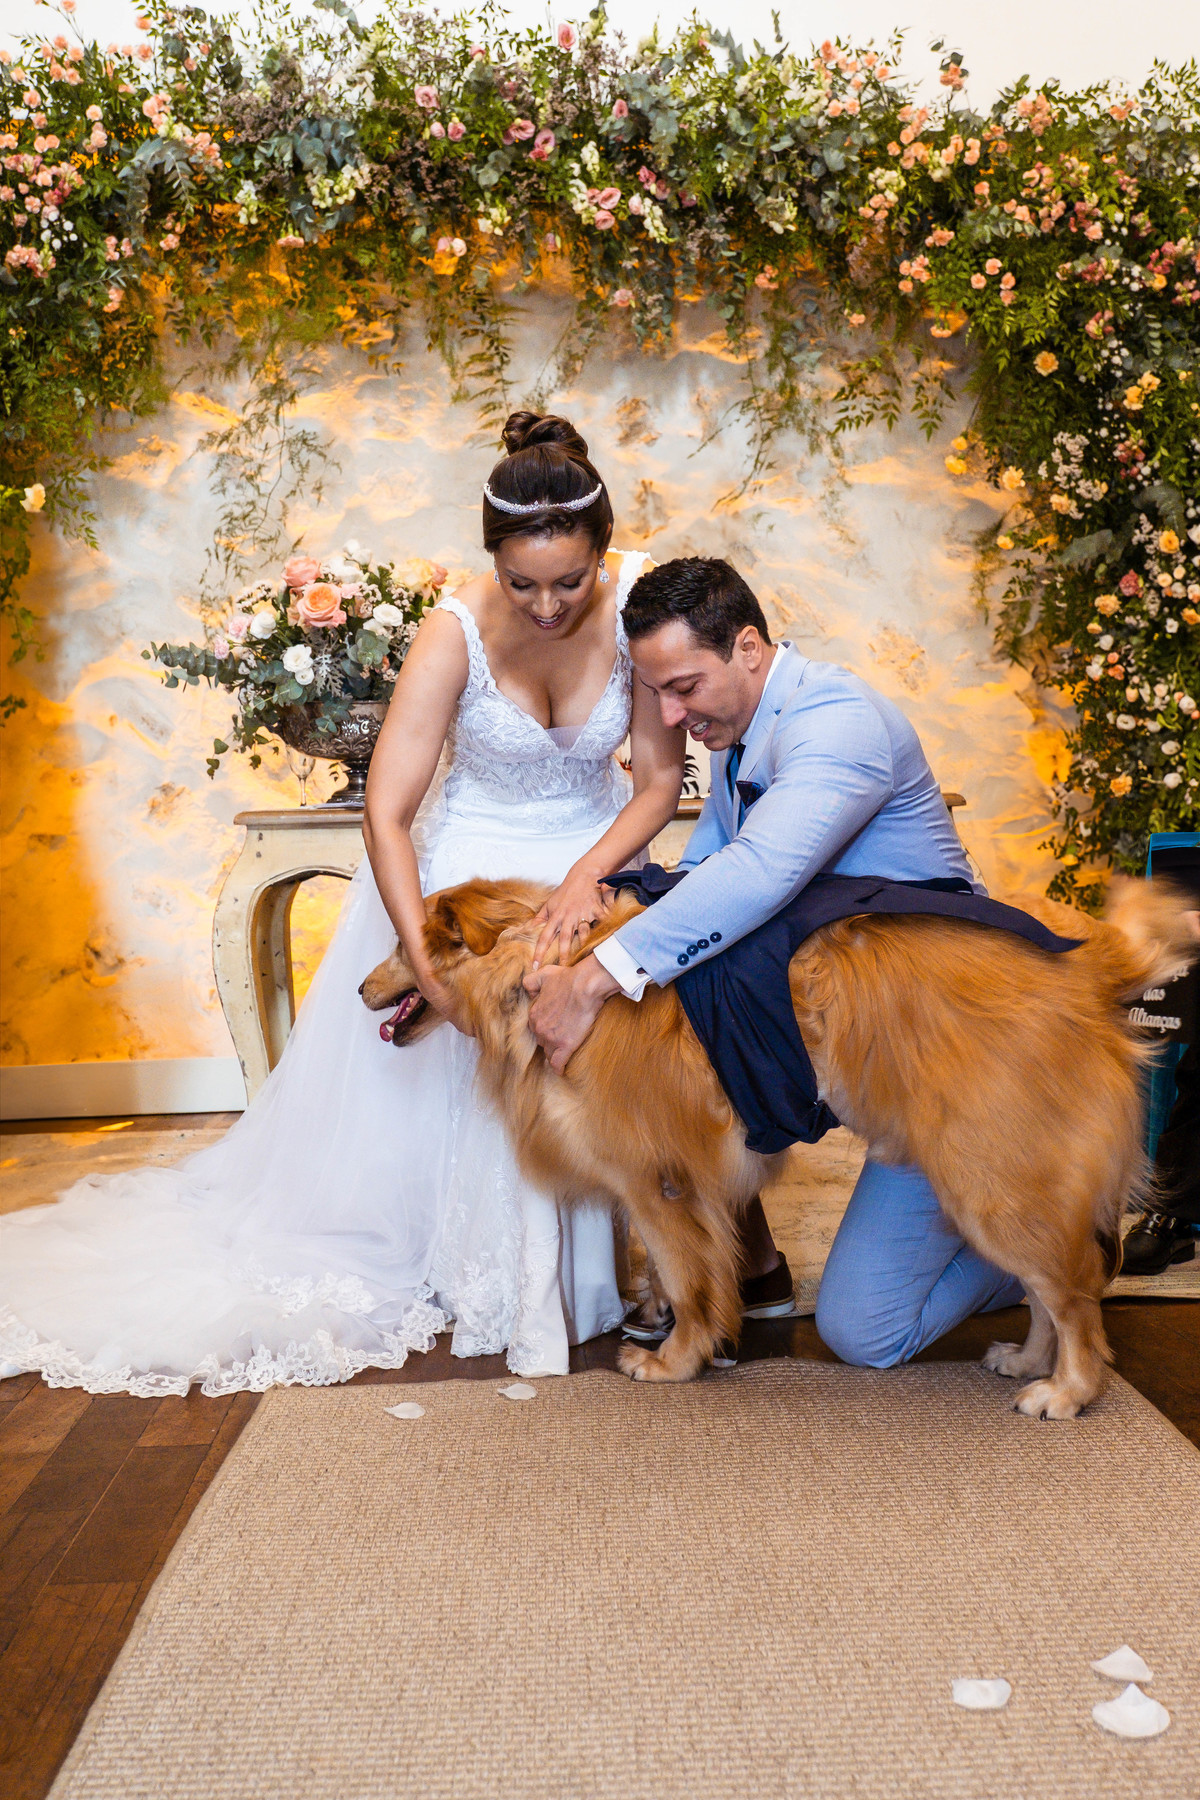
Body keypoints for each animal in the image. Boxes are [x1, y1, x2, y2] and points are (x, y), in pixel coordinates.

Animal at [361, 877, 1196, 1419]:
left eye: (402, 945)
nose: (360, 991)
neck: (537, 973)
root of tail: (1089, 965)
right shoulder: (674, 1184)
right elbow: (667, 1269)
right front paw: (665, 1323)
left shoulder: (659, 1181)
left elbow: (687, 1273)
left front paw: (675, 1359)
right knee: (1048, 1285)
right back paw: (1027, 1359)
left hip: (993, 1179)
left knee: (1075, 1291)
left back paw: (1068, 1389)